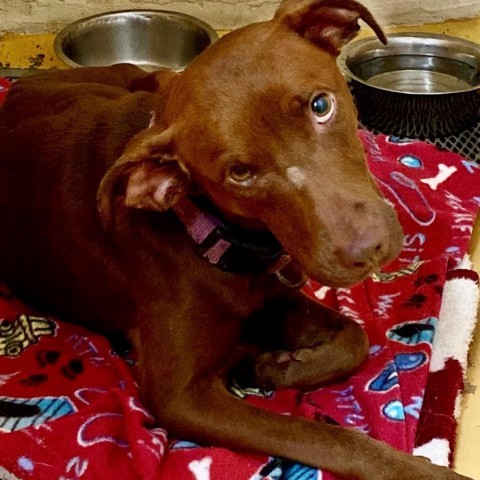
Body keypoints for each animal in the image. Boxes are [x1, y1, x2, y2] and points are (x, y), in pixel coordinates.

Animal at [0, 0, 472, 480]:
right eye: (240, 173)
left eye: (321, 106)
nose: (367, 251)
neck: (211, 231)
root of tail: (23, 85)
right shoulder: (180, 397)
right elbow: (327, 438)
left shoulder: (274, 296)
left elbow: (355, 337)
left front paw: (275, 366)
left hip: (147, 80)